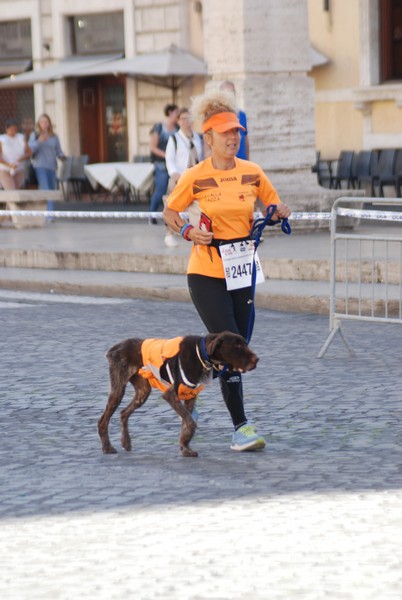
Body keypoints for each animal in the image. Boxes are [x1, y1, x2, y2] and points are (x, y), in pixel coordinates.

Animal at [99, 330, 260, 458]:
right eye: (237, 346)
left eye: (245, 344)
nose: (257, 359)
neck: (200, 354)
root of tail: (114, 348)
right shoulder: (171, 395)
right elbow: (190, 422)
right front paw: (185, 447)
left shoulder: (190, 397)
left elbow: (186, 424)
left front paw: (184, 447)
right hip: (118, 389)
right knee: (103, 420)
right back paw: (107, 447)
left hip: (143, 392)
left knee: (123, 413)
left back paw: (125, 441)